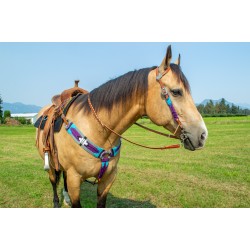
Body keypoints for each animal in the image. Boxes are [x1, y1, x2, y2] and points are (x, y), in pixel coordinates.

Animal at [35, 45, 207, 207]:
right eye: (176, 92)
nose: (203, 135)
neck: (98, 130)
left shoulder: (107, 179)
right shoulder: (74, 179)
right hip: (51, 165)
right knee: (53, 182)